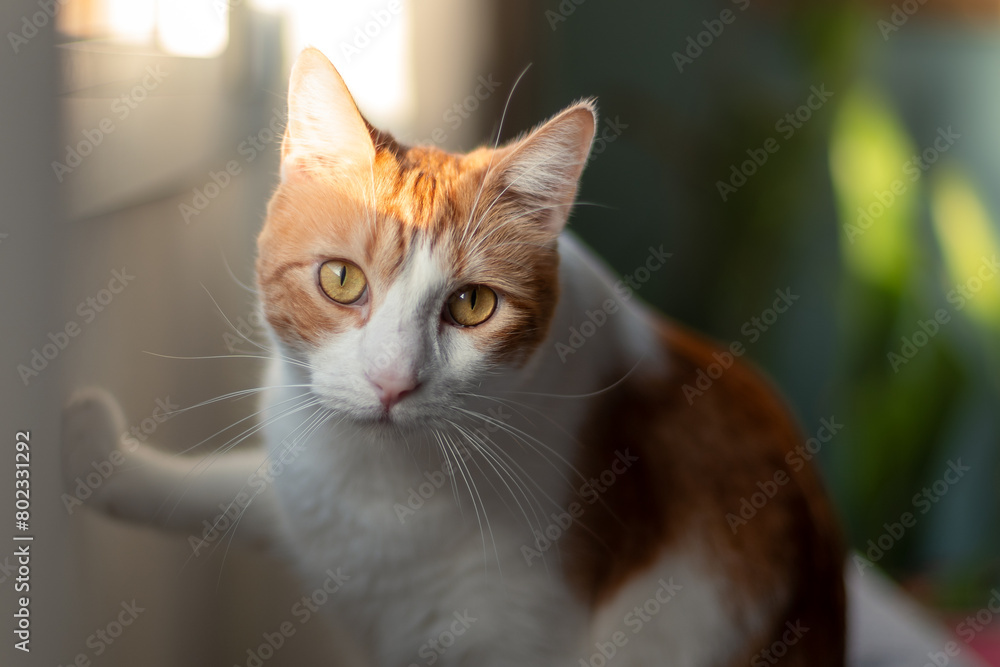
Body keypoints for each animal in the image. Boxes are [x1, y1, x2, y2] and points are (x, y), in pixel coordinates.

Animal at [60, 48, 844, 667]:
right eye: (340, 279)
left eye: (472, 305)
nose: (391, 383)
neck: (383, 485)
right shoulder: (306, 500)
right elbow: (217, 491)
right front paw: (99, 454)